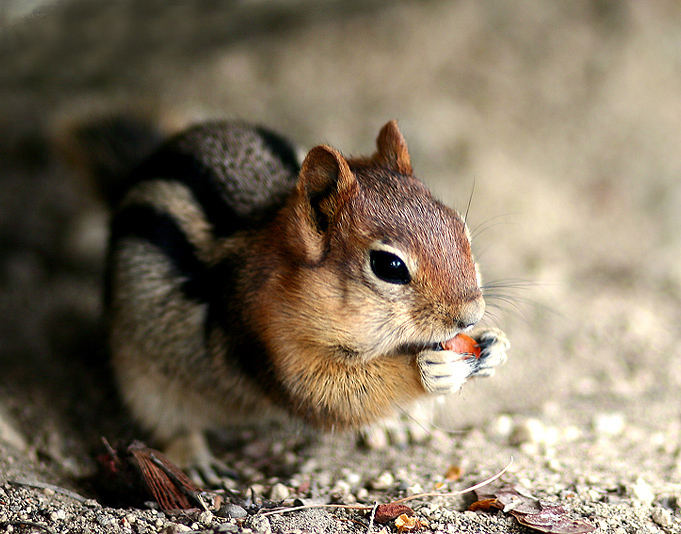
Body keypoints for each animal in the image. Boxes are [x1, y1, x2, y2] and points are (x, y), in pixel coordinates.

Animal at [65, 118, 509, 479]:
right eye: (389, 266)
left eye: (461, 228)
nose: (471, 315)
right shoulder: (270, 341)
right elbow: (331, 396)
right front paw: (429, 368)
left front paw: (495, 345)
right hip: (142, 376)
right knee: (168, 422)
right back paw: (195, 459)